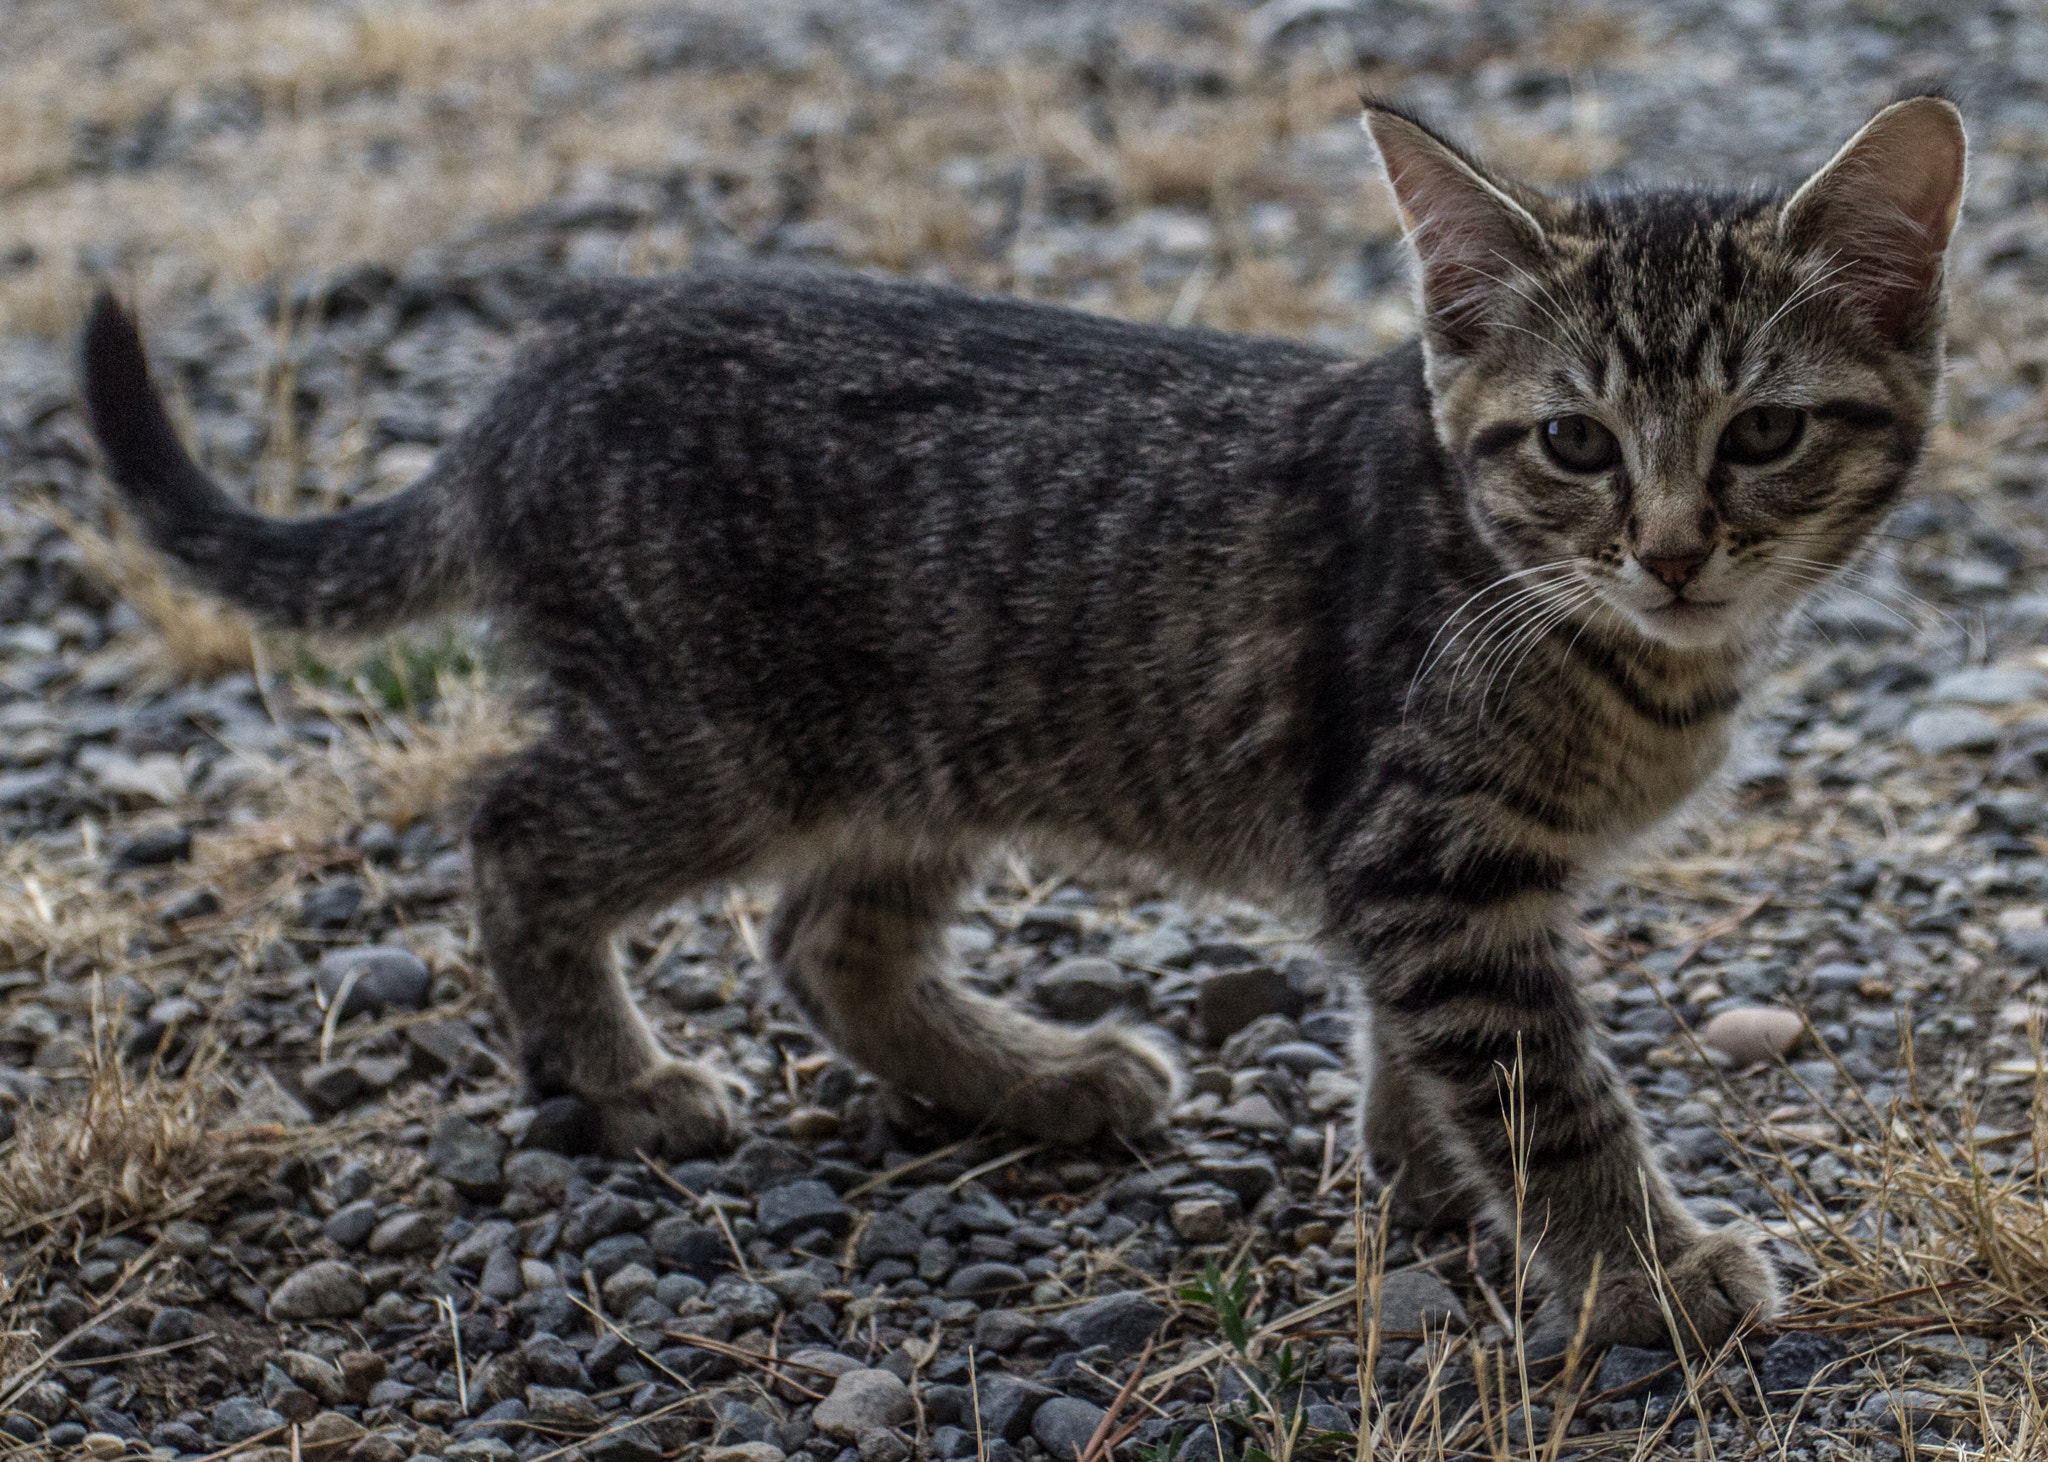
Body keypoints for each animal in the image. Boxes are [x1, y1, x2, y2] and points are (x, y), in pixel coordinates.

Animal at [83, 94, 1966, 1343]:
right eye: (1575, 444)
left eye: (1762, 434)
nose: (1673, 548)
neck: (1566, 613)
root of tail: (532, 376)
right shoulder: (1422, 848)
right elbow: (1546, 1083)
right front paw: (1643, 1265)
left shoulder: (1408, 870)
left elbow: (1416, 1037)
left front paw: (1422, 1173)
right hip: (721, 741)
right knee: (514, 824)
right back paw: (616, 1075)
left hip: (917, 752)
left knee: (822, 939)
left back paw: (1041, 1077)